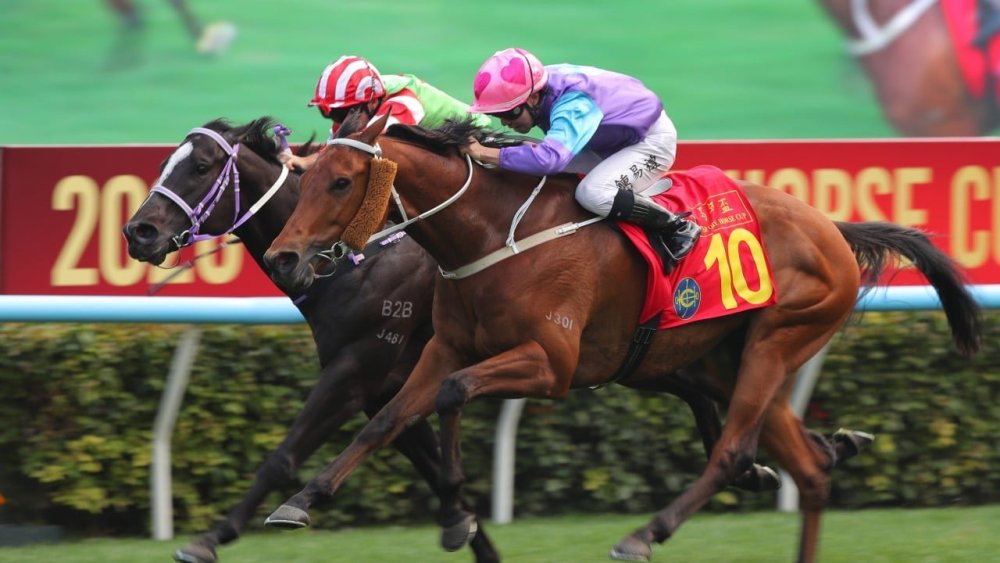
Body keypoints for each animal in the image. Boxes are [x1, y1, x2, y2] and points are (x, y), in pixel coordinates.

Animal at [261, 114, 982, 562]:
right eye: (304, 176)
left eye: (341, 181)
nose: (282, 258)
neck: (491, 233)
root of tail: (831, 226)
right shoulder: (445, 346)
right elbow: (386, 417)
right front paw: (300, 500)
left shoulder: (551, 364)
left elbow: (452, 394)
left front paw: (452, 512)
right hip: (732, 360)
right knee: (808, 469)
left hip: (776, 342)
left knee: (731, 451)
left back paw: (645, 533)